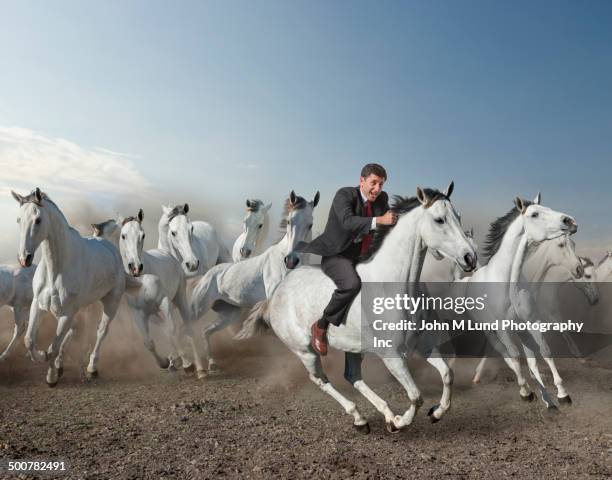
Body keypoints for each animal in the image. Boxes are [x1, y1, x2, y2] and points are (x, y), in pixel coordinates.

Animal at [12, 188, 125, 386]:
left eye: (38, 219)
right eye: (19, 219)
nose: (24, 258)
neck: (56, 270)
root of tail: (109, 245)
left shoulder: (67, 312)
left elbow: (54, 347)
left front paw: (51, 377)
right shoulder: (38, 305)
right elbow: (29, 340)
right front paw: (43, 357)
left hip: (110, 303)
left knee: (101, 331)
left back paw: (92, 368)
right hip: (86, 307)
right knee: (76, 329)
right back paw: (62, 364)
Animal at [194, 191, 320, 376]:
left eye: (310, 224)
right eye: (289, 221)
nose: (291, 260)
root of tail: (207, 275)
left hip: (228, 314)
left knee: (204, 331)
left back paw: (212, 364)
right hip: (198, 308)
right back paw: (190, 366)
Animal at [234, 184, 478, 432]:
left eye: (458, 217)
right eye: (439, 220)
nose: (470, 258)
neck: (395, 285)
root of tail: (276, 293)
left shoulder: (424, 345)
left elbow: (447, 374)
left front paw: (436, 412)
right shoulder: (391, 356)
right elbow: (416, 395)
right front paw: (401, 421)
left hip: (354, 348)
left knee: (353, 376)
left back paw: (383, 414)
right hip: (305, 351)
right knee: (321, 380)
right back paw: (360, 417)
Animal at [464, 193, 580, 406]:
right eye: (534, 214)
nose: (570, 221)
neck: (509, 283)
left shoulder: (532, 322)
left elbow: (544, 351)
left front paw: (562, 393)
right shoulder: (502, 327)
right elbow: (515, 356)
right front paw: (525, 392)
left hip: (519, 330)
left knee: (525, 357)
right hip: (489, 329)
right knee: (503, 352)